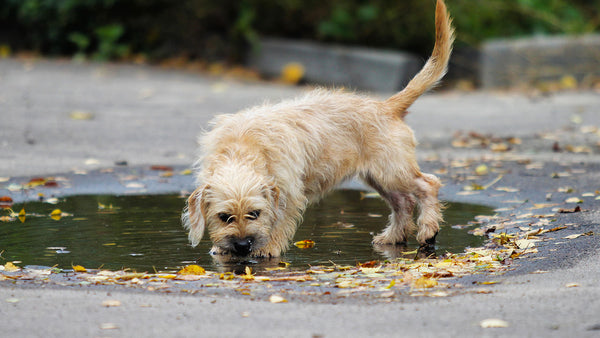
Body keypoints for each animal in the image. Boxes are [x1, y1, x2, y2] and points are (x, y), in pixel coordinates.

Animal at [183, 0, 454, 258]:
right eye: (223, 217)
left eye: (255, 213)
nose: (241, 246)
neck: (242, 147)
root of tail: (387, 105)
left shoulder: (288, 195)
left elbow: (279, 222)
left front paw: (267, 249)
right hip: (377, 177)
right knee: (403, 202)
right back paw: (393, 236)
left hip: (392, 171)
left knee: (428, 184)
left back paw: (428, 229)